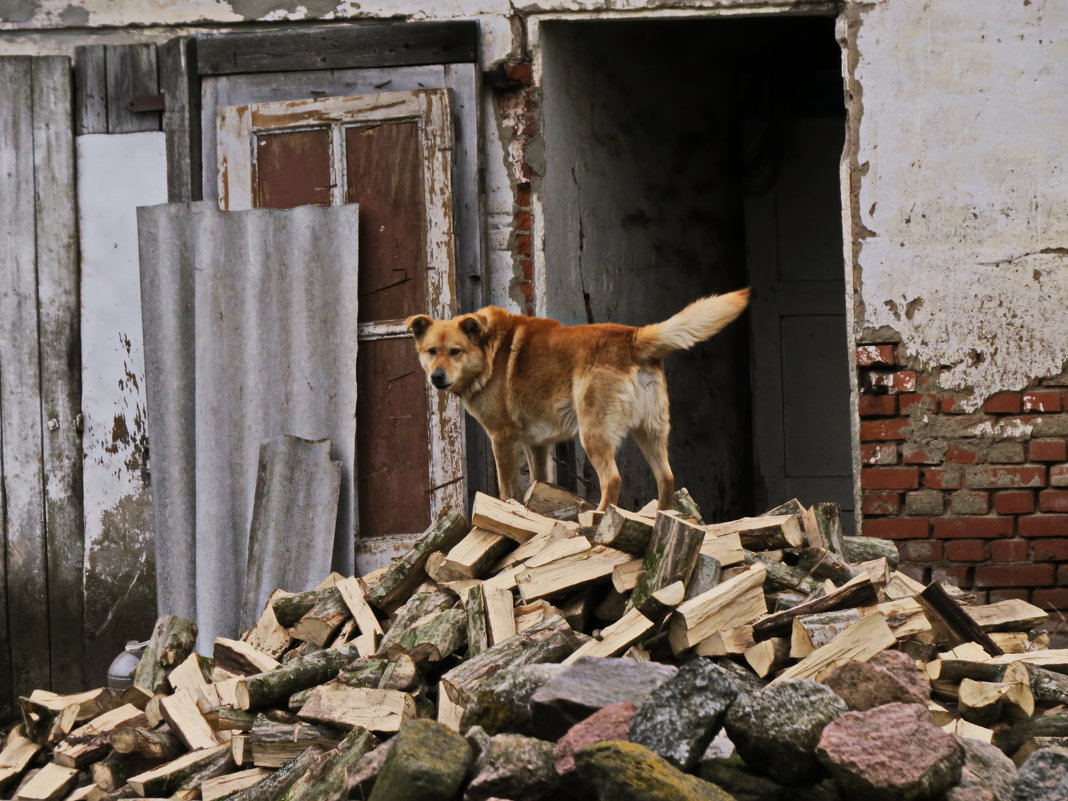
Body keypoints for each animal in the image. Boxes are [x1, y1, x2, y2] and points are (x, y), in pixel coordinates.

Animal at [407, 292, 751, 510]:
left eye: (455, 351)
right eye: (431, 352)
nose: (436, 377)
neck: (488, 350)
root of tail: (633, 337)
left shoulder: (502, 438)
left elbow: (507, 489)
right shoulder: (537, 444)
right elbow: (540, 481)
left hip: (593, 431)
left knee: (612, 480)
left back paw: (599, 520)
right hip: (651, 431)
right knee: (666, 478)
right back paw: (660, 519)